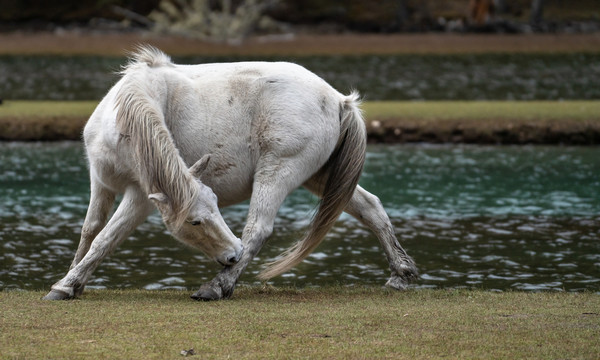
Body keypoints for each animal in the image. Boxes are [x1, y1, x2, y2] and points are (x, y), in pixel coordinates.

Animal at [43, 45, 418, 300]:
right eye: (196, 221)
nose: (231, 254)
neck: (127, 112)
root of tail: (339, 100)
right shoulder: (100, 182)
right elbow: (91, 230)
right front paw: (72, 279)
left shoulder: (140, 196)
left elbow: (108, 237)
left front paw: (67, 284)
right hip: (319, 177)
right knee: (371, 208)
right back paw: (401, 274)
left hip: (278, 172)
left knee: (258, 228)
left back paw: (216, 286)